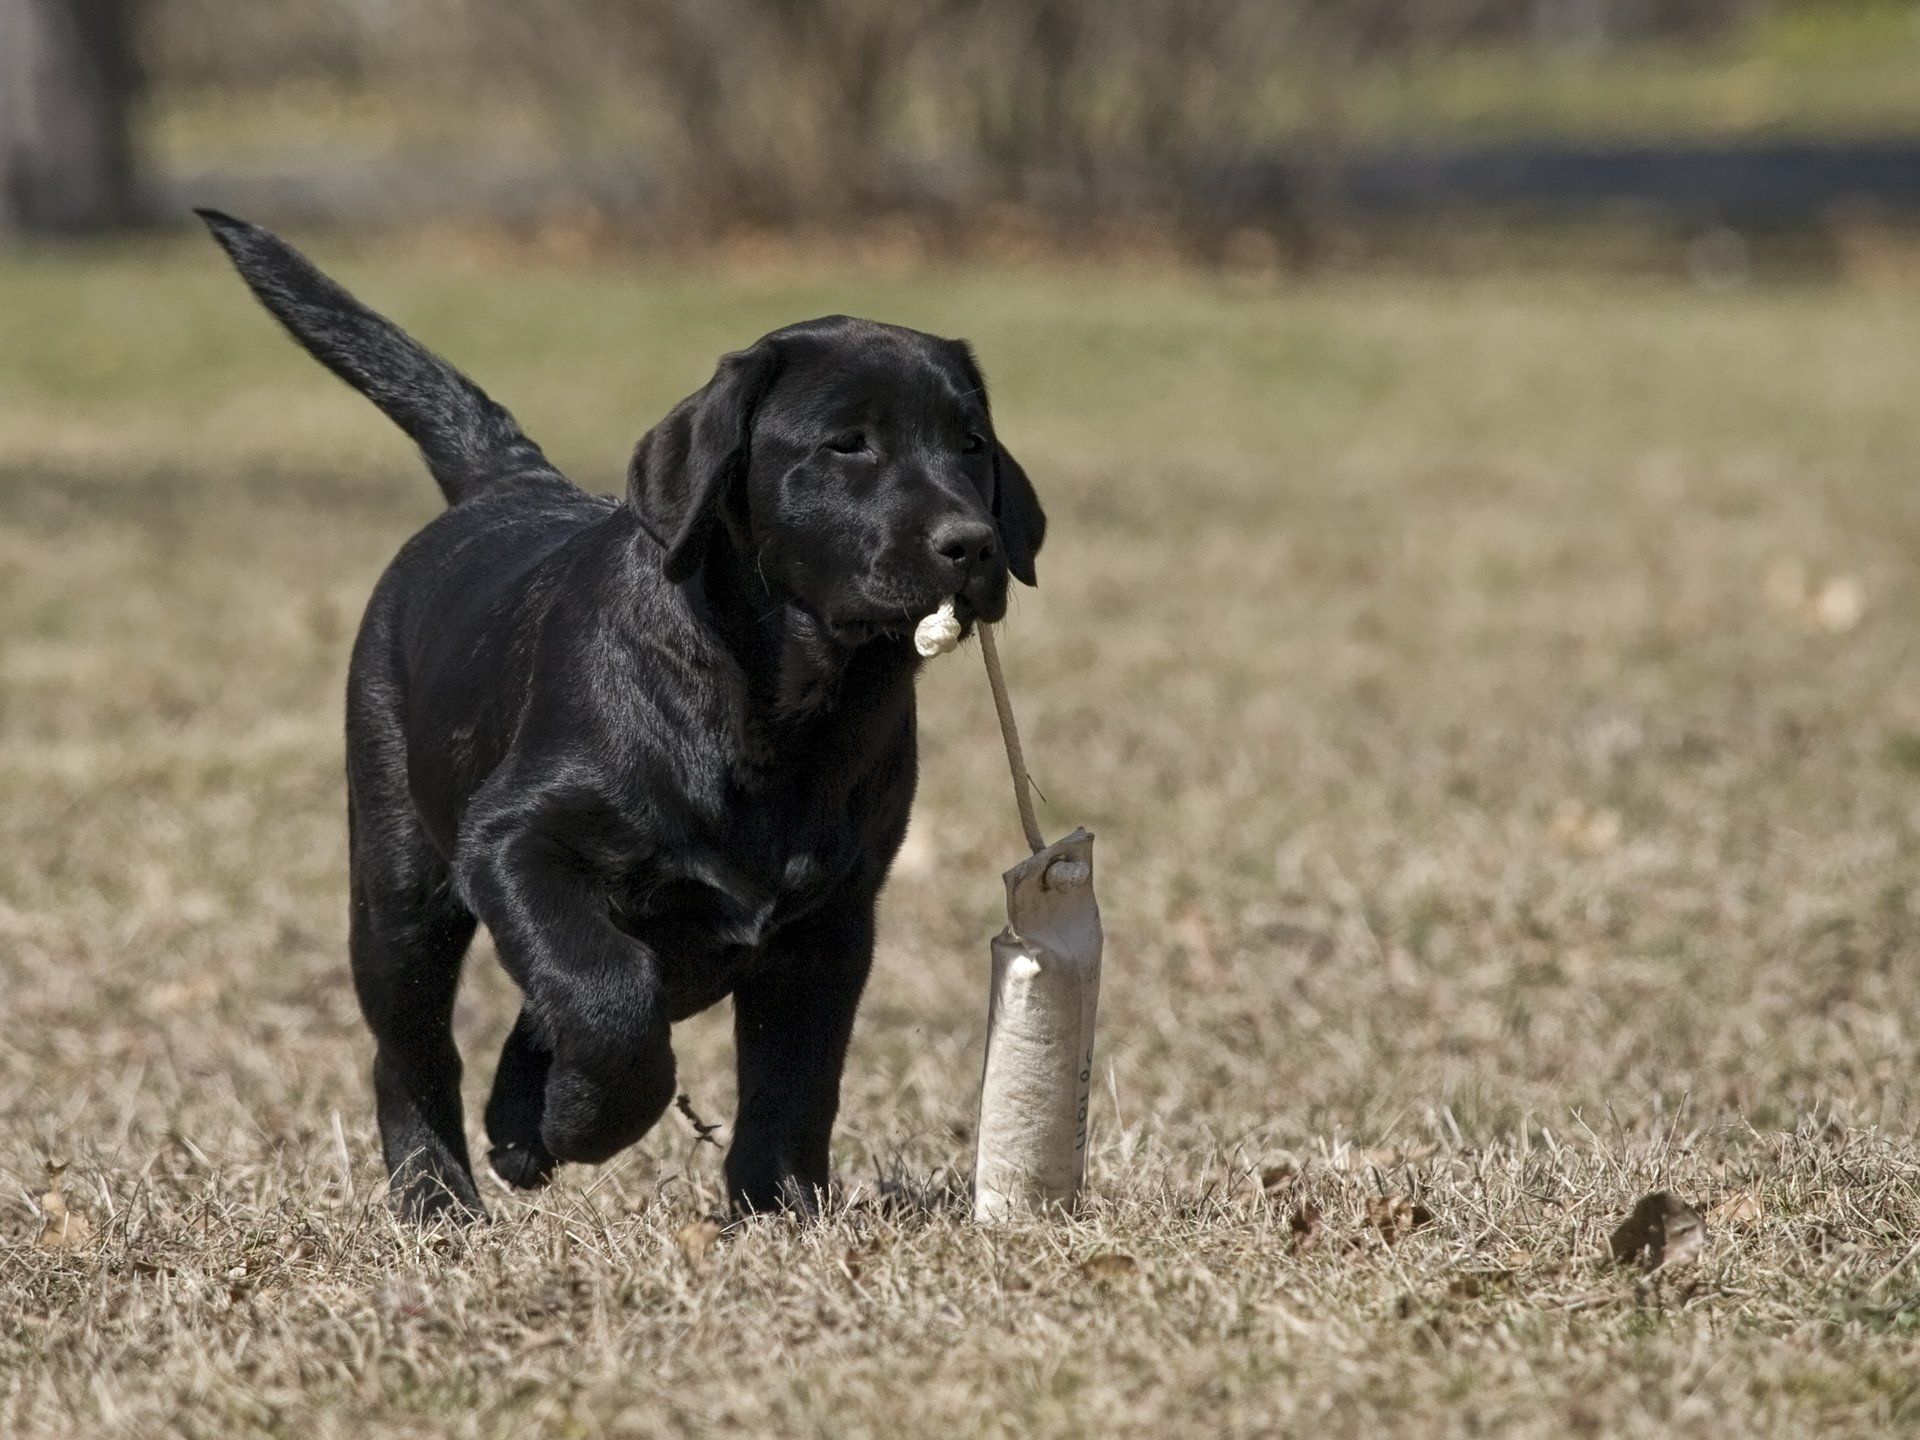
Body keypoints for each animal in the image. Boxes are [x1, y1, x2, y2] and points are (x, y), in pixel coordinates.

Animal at [200, 214, 1044, 1221]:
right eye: (849, 444)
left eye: (972, 445)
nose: (973, 544)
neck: (785, 709)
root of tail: (509, 486)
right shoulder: (514, 839)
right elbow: (604, 994)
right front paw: (582, 1124)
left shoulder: (833, 921)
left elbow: (796, 1074)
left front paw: (777, 1205)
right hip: (399, 885)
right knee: (412, 1048)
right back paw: (438, 1196)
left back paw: (515, 1128)